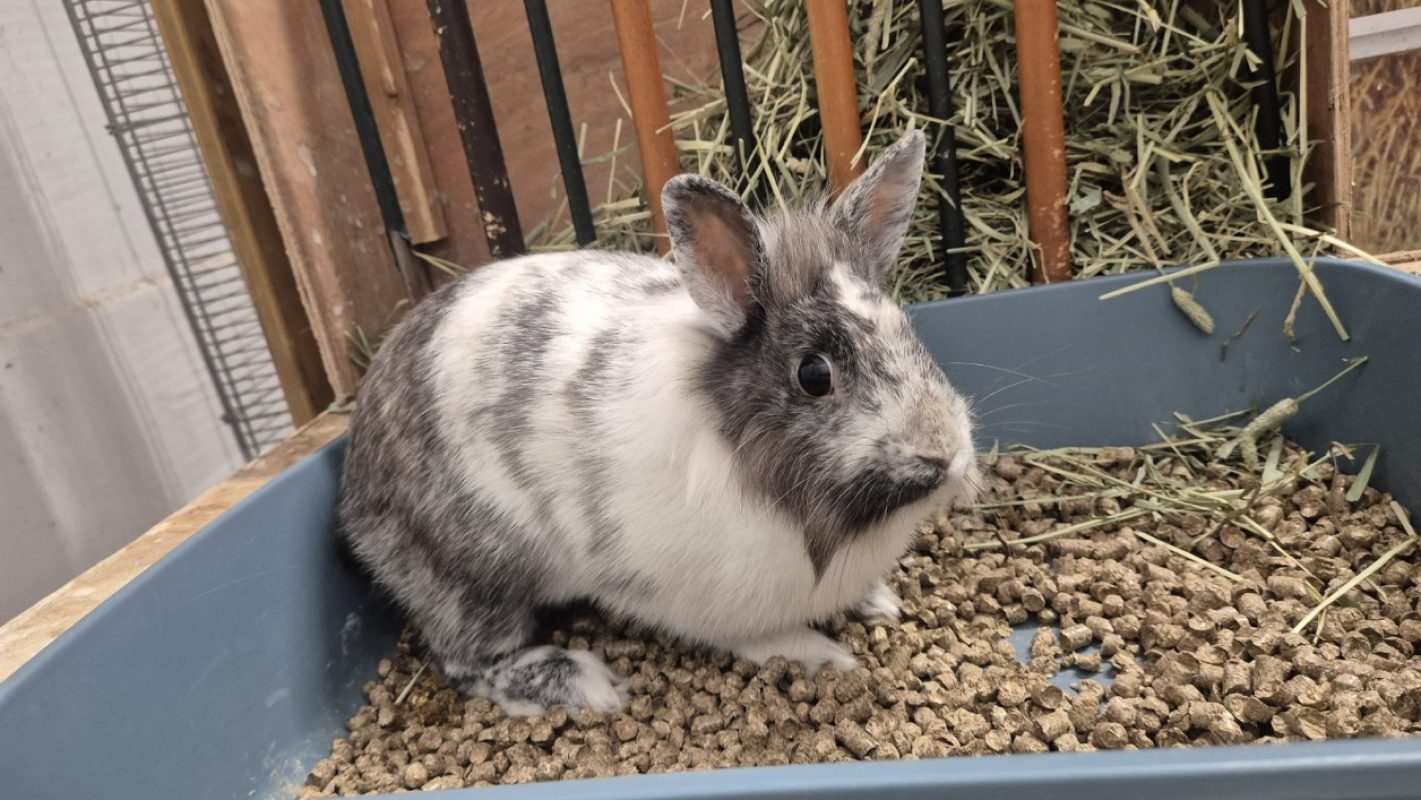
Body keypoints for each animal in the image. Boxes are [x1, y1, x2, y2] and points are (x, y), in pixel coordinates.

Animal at [338, 129, 979, 716]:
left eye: (907, 328)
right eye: (814, 374)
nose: (945, 452)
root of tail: (355, 482)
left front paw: (878, 602)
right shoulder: (711, 604)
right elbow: (766, 638)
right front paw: (827, 656)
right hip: (473, 580)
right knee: (467, 661)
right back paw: (584, 685)